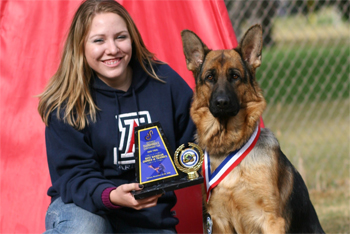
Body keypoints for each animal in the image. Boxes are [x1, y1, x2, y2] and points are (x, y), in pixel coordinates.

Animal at [182, 24, 324, 233]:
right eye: (210, 77)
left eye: (235, 76)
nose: (222, 103)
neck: (230, 146)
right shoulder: (219, 221)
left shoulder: (271, 220)